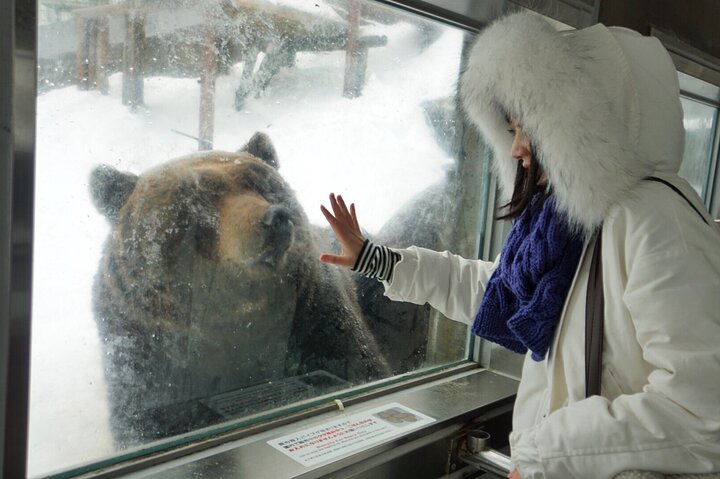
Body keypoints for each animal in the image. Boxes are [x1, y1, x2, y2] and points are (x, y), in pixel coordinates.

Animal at [90, 132, 390, 447]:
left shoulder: (315, 319)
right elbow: (146, 422)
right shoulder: (143, 354)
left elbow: (359, 363)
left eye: (261, 183)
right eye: (198, 200)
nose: (274, 219)